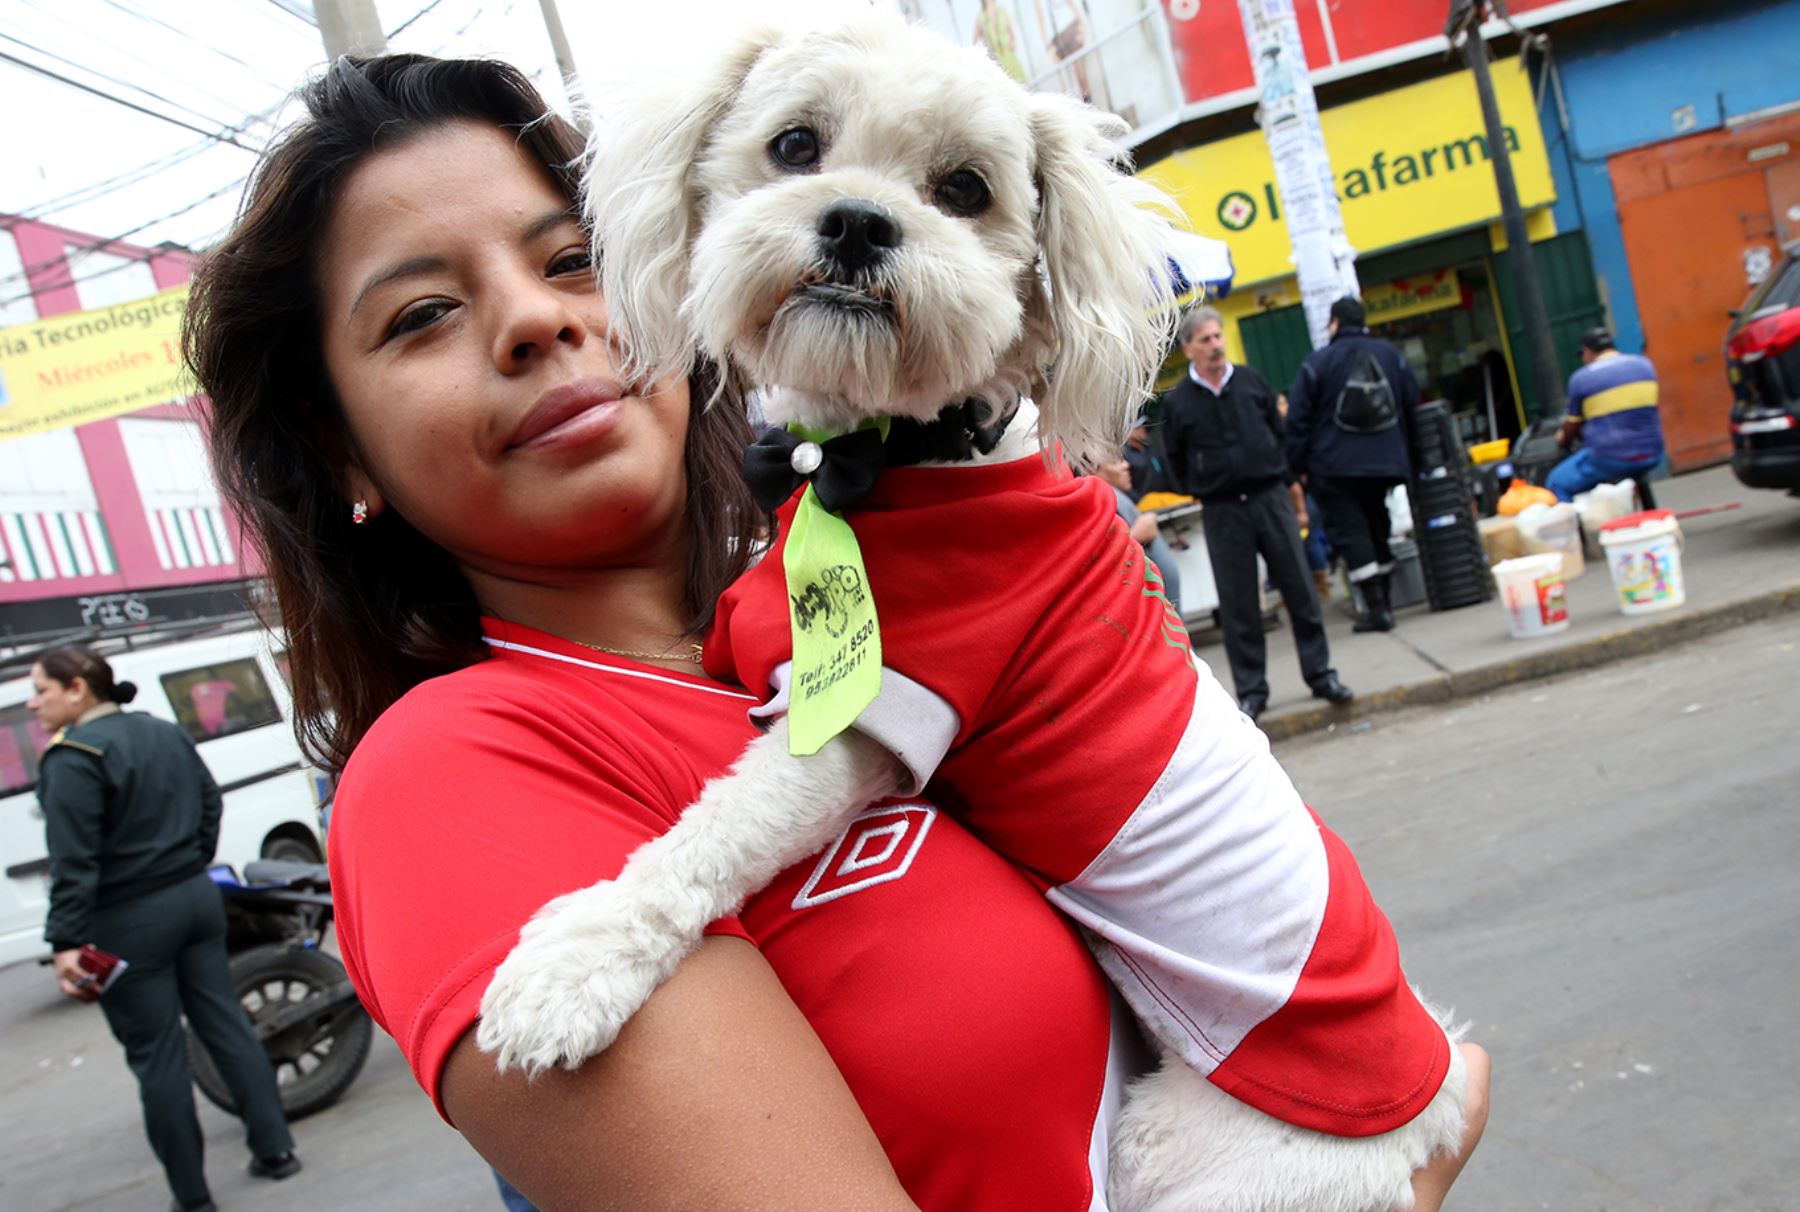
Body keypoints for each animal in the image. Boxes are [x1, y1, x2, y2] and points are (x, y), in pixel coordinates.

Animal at [482, 11, 1476, 1210]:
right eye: (795, 144)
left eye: (964, 190)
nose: (858, 222)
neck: (894, 457)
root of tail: (1427, 1103)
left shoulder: (876, 706)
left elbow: (714, 834)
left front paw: (575, 959)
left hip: (1189, 1157)